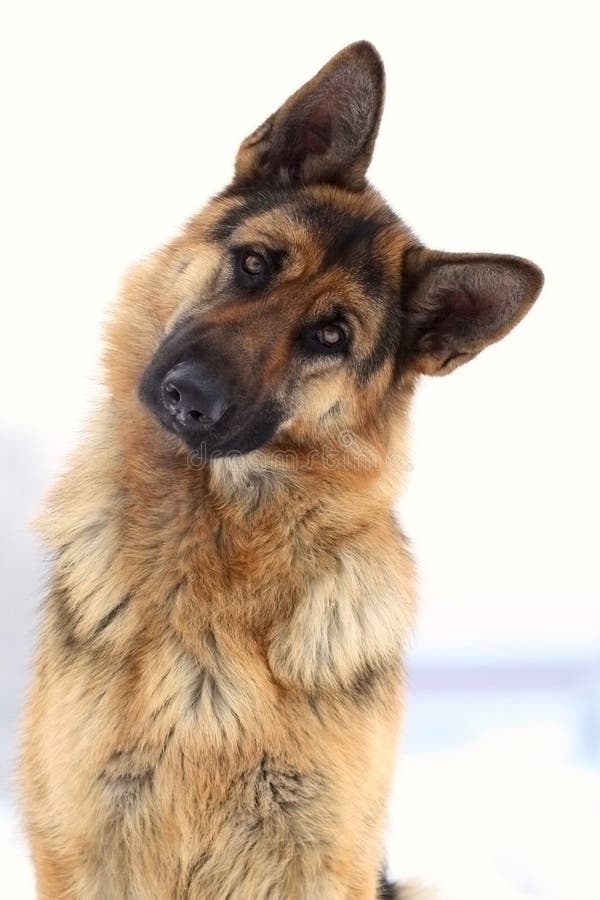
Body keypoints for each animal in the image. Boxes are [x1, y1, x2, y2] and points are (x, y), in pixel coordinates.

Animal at [21, 38, 540, 896]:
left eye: (331, 335)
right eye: (256, 262)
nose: (190, 397)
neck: (213, 562)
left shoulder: (319, 857)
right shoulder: (86, 847)